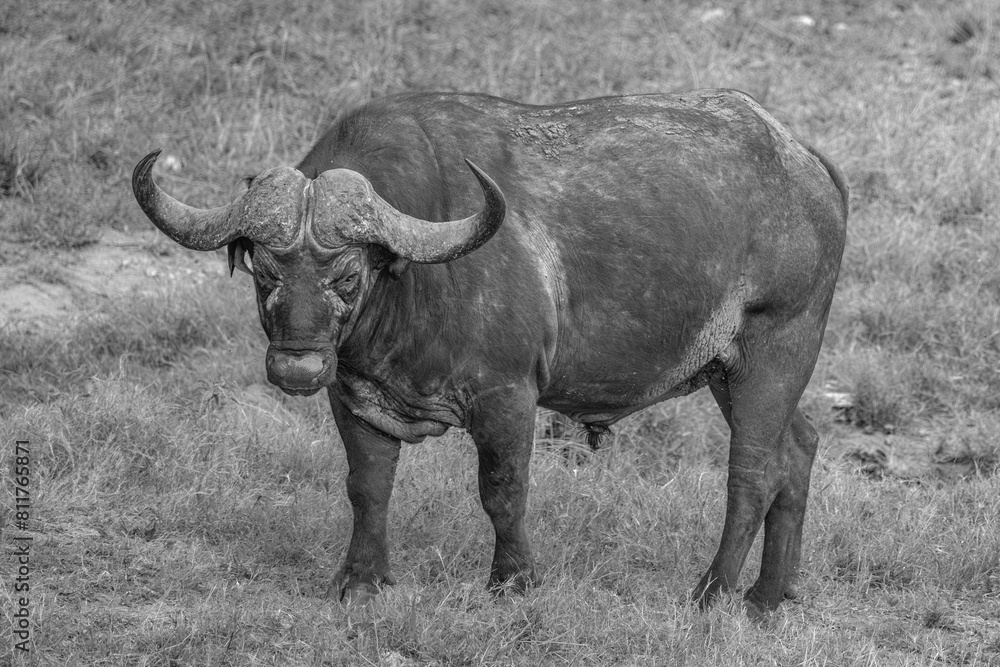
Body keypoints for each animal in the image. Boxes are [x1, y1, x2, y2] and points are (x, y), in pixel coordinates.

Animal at [132, 89, 848, 614]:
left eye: (347, 276)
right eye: (264, 272)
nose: (297, 366)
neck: (412, 288)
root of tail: (805, 163)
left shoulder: (508, 398)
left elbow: (503, 491)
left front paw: (514, 580)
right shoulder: (352, 397)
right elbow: (367, 488)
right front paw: (360, 581)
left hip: (776, 350)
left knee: (752, 473)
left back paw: (713, 592)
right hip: (730, 371)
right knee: (799, 449)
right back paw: (769, 596)